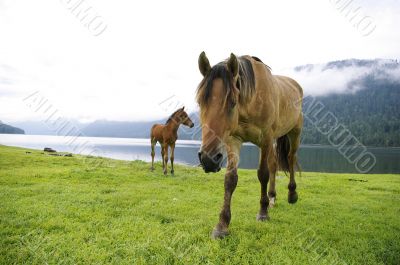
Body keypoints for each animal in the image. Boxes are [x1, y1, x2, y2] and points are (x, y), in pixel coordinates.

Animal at [197, 51, 304, 237]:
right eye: (200, 102)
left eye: (233, 102)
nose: (208, 159)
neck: (251, 101)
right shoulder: (233, 140)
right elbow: (230, 179)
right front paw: (222, 225)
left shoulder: (266, 139)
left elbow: (263, 174)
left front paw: (263, 213)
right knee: (274, 164)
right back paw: (272, 197)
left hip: (294, 132)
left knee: (290, 159)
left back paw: (292, 194)